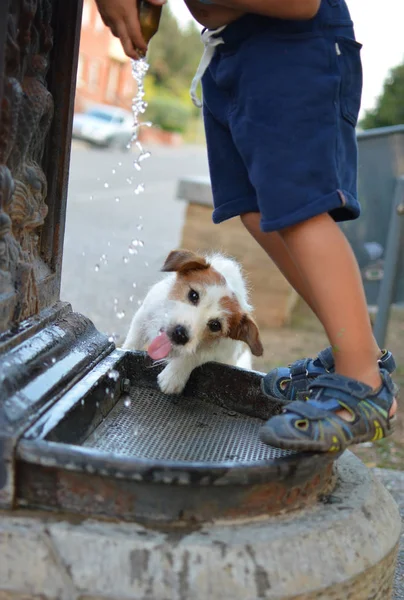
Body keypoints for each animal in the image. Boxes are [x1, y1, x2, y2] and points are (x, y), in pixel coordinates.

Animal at [122, 251, 262, 396]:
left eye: (215, 325)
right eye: (193, 295)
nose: (180, 334)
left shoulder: (219, 351)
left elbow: (195, 354)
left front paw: (174, 375)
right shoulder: (143, 317)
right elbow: (132, 342)